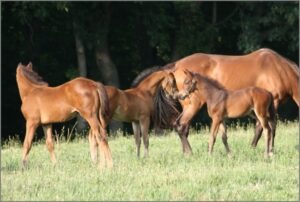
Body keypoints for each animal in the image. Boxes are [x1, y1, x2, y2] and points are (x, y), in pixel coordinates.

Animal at [145, 48, 298, 154]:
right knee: (181, 126)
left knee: (181, 126)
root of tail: (176, 66)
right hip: (193, 105)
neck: (279, 69)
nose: (180, 95)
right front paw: (261, 149)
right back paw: (189, 152)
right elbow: (266, 128)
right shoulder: (272, 103)